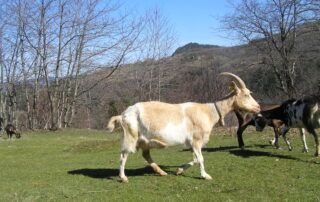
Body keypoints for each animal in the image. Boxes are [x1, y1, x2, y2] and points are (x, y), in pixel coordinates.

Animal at [107, 72, 260, 182]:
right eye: (246, 94)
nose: (258, 107)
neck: (209, 111)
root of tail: (123, 114)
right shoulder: (196, 140)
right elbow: (200, 159)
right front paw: (205, 176)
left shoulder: (192, 143)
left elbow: (196, 159)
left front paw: (179, 170)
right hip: (131, 137)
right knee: (123, 155)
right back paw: (123, 177)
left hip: (145, 141)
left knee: (146, 155)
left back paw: (161, 172)